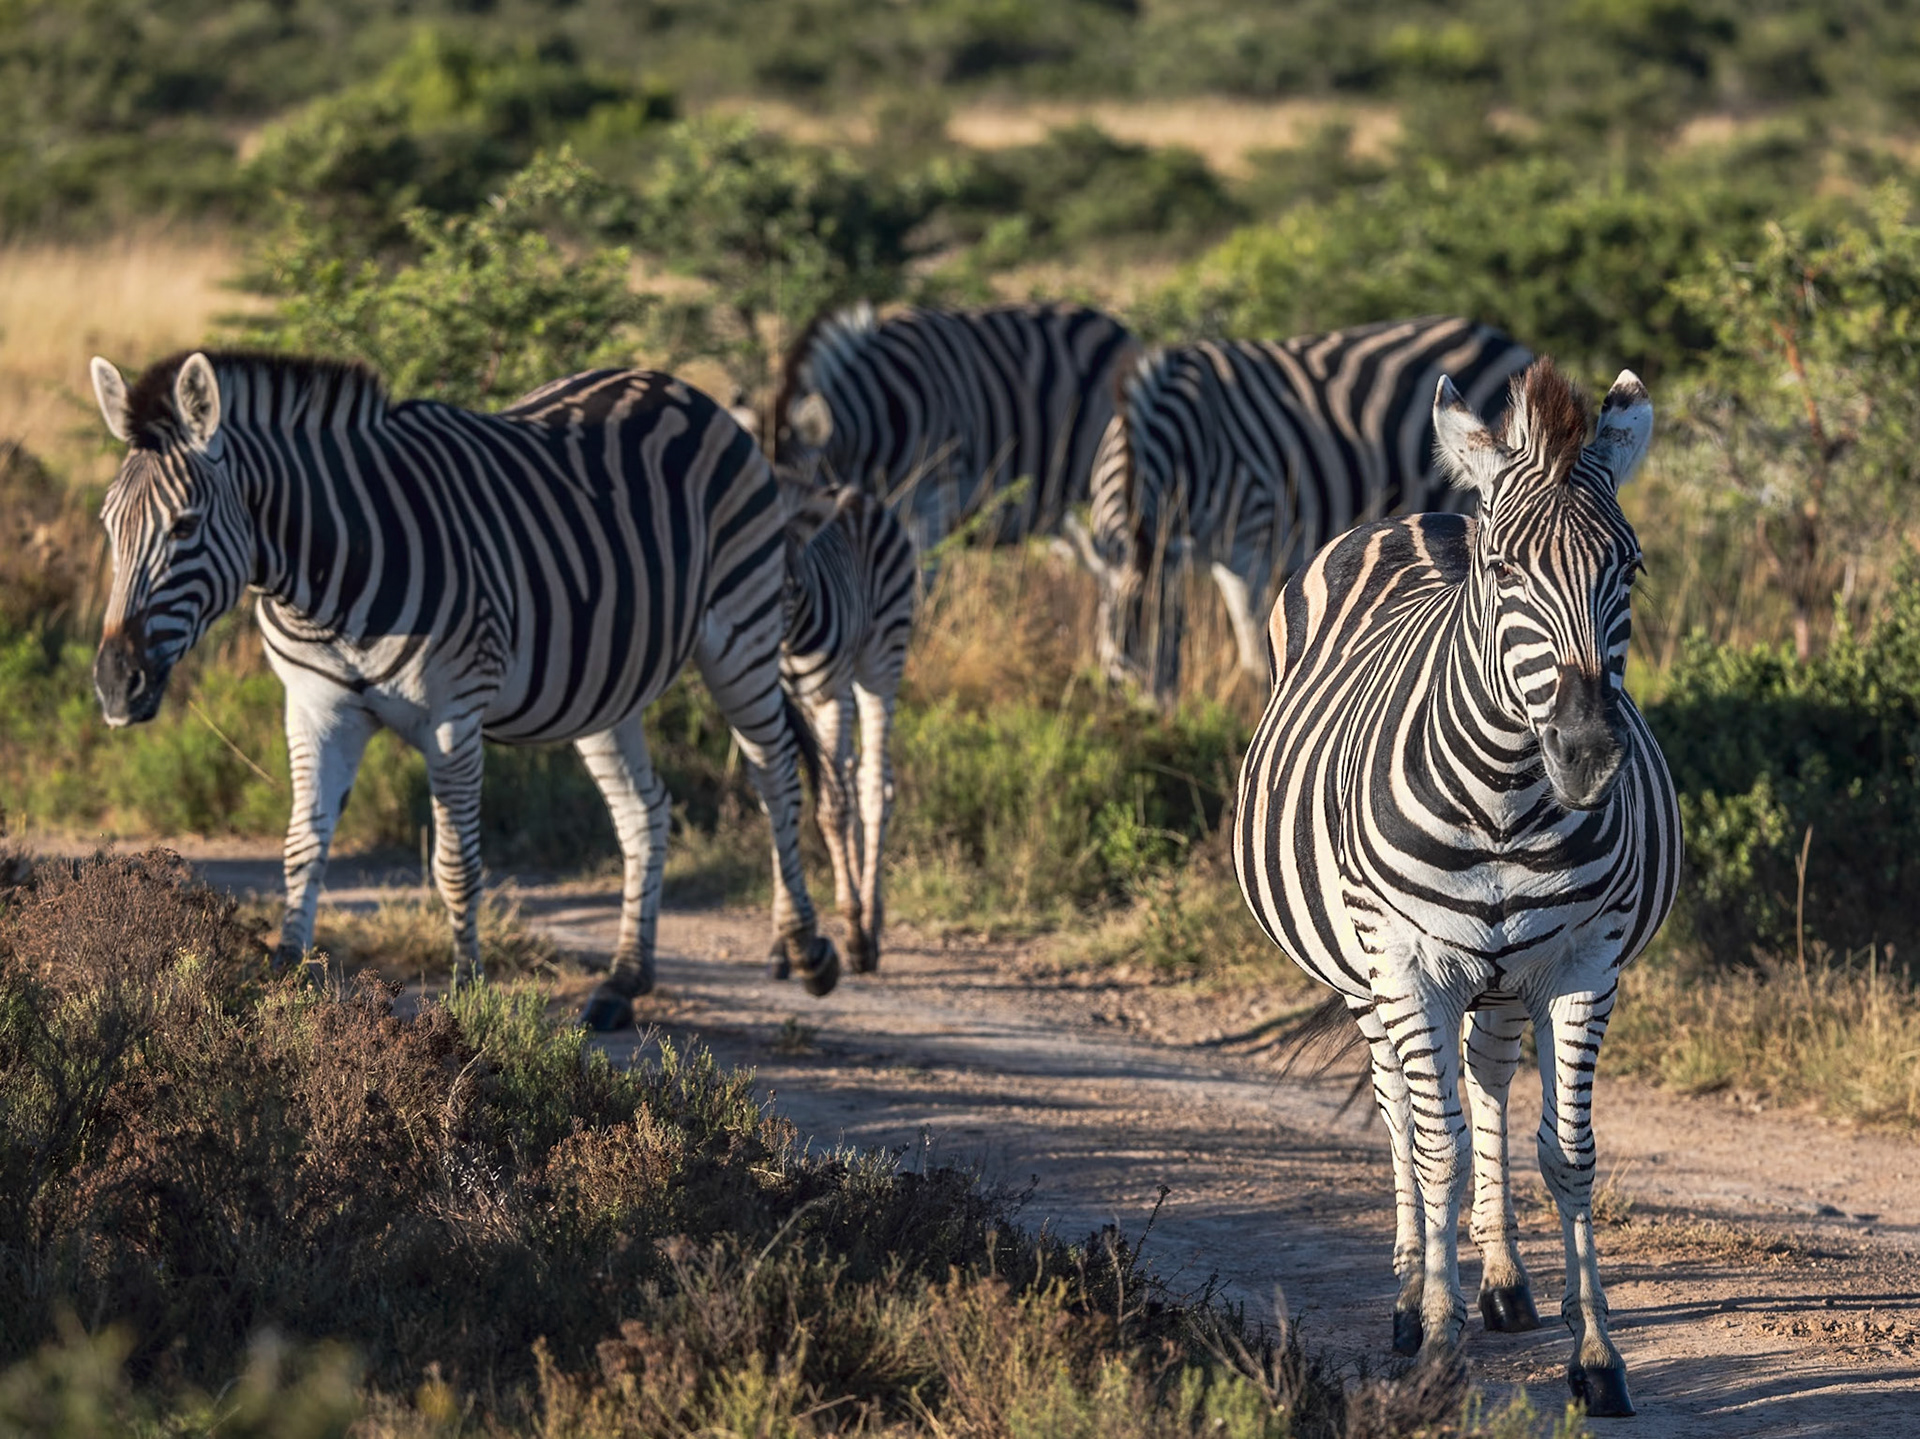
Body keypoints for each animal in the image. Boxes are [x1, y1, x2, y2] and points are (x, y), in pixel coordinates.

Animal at [88, 350, 840, 1031]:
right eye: (107, 524)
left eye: (185, 525)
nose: (115, 685)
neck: (325, 579)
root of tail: (679, 385)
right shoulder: (315, 708)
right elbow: (302, 845)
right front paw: (283, 981)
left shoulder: (452, 715)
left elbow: (456, 865)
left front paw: (469, 995)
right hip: (605, 684)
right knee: (646, 810)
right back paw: (623, 982)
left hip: (740, 630)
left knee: (775, 775)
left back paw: (806, 950)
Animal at [775, 480, 917, 977]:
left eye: (792, 589)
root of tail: (855, 494)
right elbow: (779, 801)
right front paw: (782, 944)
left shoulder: (828, 697)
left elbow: (832, 811)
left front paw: (853, 929)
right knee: (851, 775)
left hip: (879, 661)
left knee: (874, 787)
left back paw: (867, 931)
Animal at [1064, 316, 1531, 704]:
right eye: (1119, 662)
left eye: (1177, 632)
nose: (1155, 720)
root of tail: (1501, 337)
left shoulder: (1248, 539)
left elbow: (1253, 650)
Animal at [1232, 359, 1680, 1417]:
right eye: (1505, 570)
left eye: (1630, 568)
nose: (1588, 754)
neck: (1508, 797)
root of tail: (1425, 515)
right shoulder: (1406, 962)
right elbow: (1436, 1147)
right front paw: (1436, 1341)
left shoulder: (1582, 963)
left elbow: (1566, 1152)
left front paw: (1596, 1354)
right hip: (1365, 975)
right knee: (1403, 1109)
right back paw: (1407, 1292)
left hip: (1506, 977)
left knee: (1486, 1083)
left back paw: (1506, 1283)